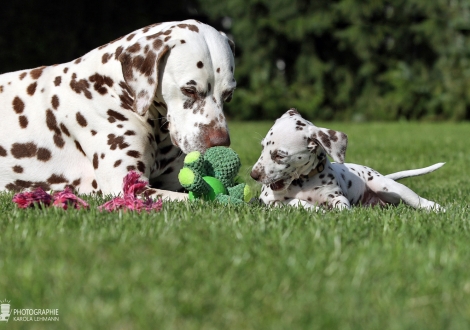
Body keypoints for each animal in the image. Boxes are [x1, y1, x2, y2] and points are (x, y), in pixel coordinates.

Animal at [0, 21, 237, 201]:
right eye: (189, 90)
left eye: (229, 94)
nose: (220, 143)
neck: (114, 89)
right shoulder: (129, 188)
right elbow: (203, 202)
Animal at [250, 108, 444, 211]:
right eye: (262, 147)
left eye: (279, 155)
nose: (253, 175)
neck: (303, 182)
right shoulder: (270, 200)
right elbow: (297, 202)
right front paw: (316, 210)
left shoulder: (337, 197)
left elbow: (341, 206)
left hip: (389, 187)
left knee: (422, 201)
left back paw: (442, 210)